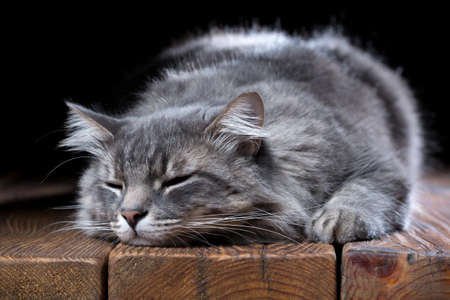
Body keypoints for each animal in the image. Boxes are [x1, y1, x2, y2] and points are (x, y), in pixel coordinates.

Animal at [61, 27, 424, 246]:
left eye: (176, 181)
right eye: (114, 185)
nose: (130, 215)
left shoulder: (378, 163)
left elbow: (363, 191)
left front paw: (337, 220)